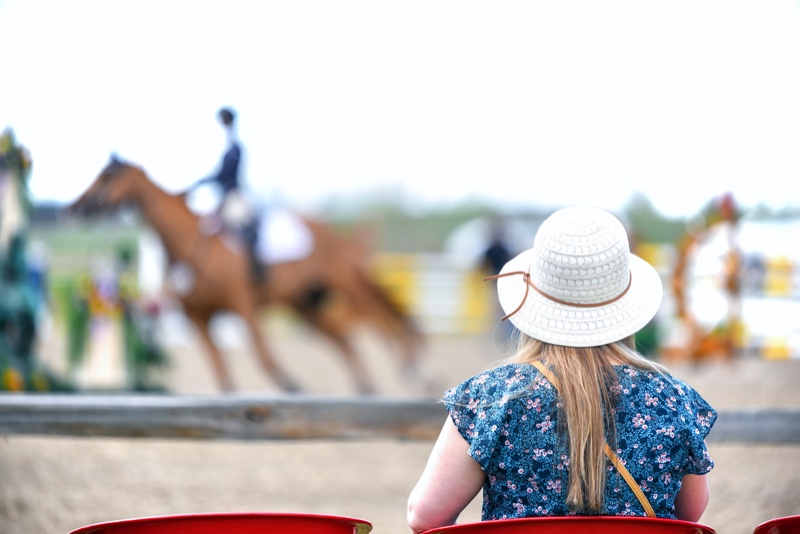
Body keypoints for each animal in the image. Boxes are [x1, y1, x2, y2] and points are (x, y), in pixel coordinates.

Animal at [70, 157, 424, 396]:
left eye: (106, 178)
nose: (73, 208)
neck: (191, 243)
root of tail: (338, 236)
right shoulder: (198, 317)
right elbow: (221, 370)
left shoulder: (243, 306)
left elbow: (262, 355)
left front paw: (292, 384)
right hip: (305, 306)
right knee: (346, 341)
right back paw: (370, 385)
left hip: (346, 284)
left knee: (380, 316)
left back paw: (411, 366)